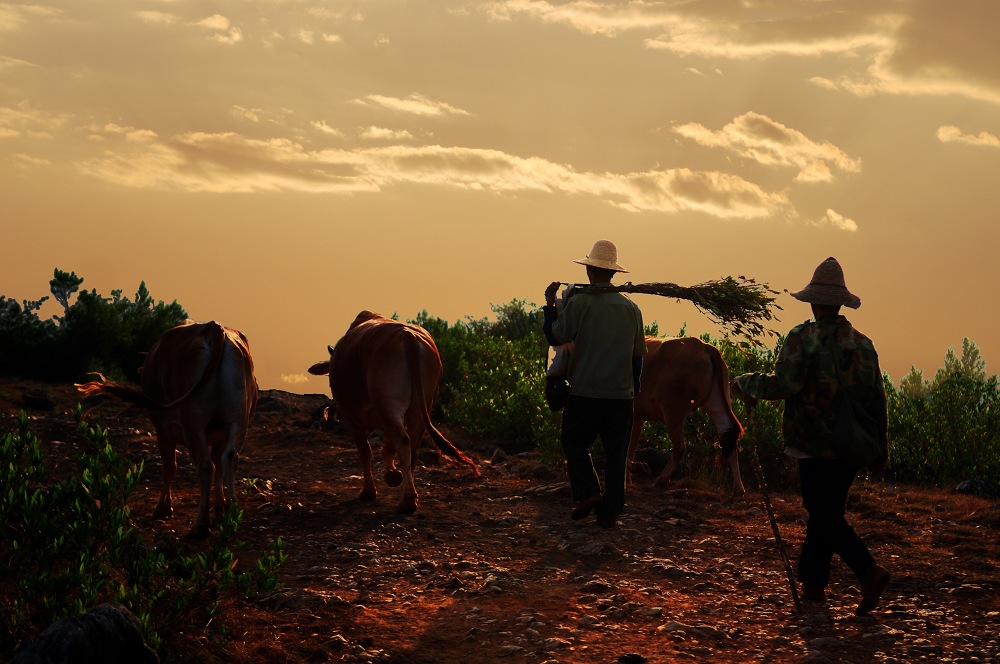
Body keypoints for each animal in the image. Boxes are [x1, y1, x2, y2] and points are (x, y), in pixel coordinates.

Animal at [78, 322, 258, 540]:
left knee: (205, 466)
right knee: (229, 458)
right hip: (237, 420)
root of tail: (213, 327)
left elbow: (170, 467)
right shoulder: (218, 436)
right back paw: (231, 515)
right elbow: (218, 465)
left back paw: (200, 526)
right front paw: (220, 508)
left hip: (193, 424)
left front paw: (163, 507)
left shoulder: (163, 431)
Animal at [306, 312, 478, 512]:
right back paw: (408, 494)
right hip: (417, 407)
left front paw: (369, 491)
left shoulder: (354, 419)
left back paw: (408, 500)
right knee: (412, 446)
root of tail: (407, 335)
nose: (336, 414)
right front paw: (392, 474)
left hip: (388, 403)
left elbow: (365, 452)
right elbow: (387, 448)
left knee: (402, 441)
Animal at [628, 338, 748, 498]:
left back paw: (661, 480)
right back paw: (738, 489)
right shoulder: (638, 417)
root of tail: (704, 347)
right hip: (716, 400)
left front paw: (635, 470)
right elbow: (630, 447)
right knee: (728, 436)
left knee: (680, 447)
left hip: (673, 411)